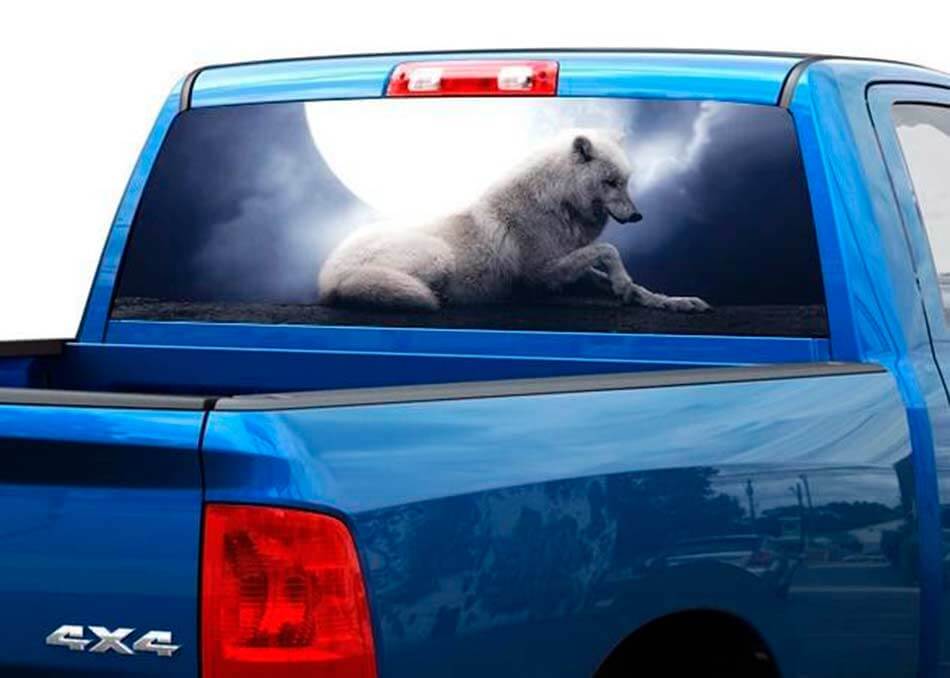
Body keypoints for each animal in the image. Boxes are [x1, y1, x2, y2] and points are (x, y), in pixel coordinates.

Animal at [318, 130, 710, 313]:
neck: (558, 204)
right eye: (610, 182)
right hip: (437, 256)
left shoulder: (568, 264)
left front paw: (667, 300)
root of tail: (327, 274)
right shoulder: (541, 274)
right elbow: (609, 249)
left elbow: (623, 275)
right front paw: (623, 286)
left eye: (626, 181)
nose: (638, 216)